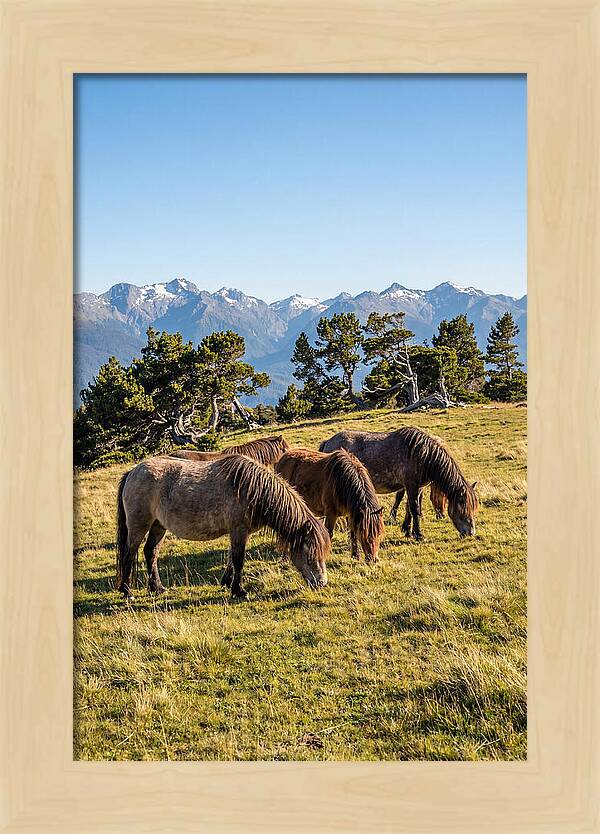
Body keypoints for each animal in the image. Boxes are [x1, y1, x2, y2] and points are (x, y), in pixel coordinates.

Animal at [116, 454, 330, 600]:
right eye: (310, 554)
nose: (322, 583)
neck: (252, 490)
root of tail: (132, 472)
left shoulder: (238, 532)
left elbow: (231, 559)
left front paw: (227, 582)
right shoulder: (238, 530)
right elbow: (238, 560)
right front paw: (239, 591)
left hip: (158, 526)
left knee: (150, 552)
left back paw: (157, 588)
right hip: (139, 525)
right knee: (129, 554)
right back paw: (127, 592)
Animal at [320, 426, 478, 540]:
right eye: (462, 505)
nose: (471, 532)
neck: (422, 454)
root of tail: (328, 442)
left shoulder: (417, 488)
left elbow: (410, 508)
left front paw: (407, 531)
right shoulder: (411, 485)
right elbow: (414, 508)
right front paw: (419, 535)